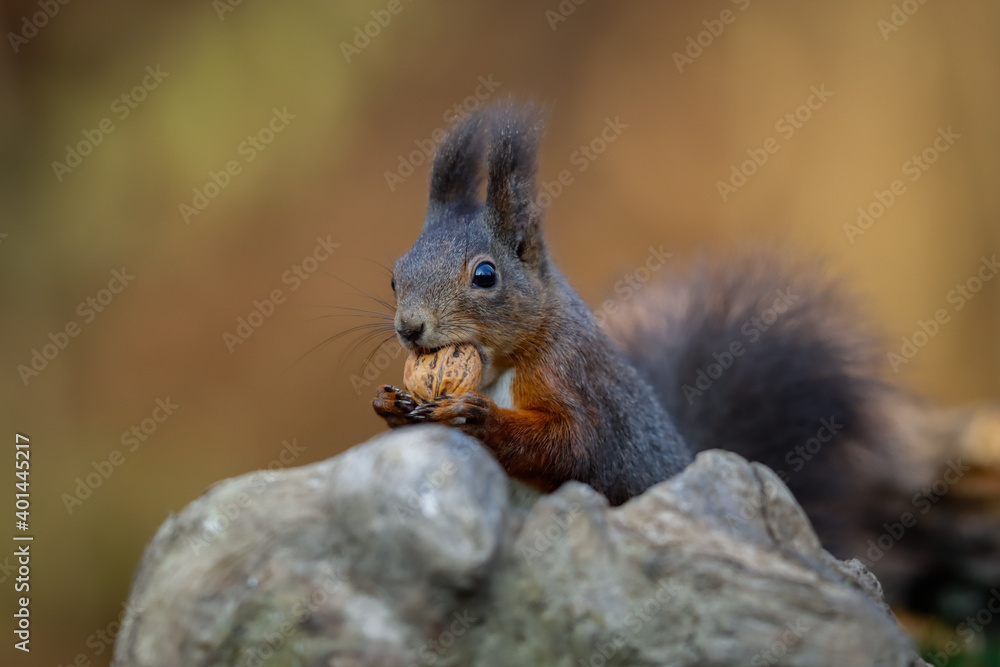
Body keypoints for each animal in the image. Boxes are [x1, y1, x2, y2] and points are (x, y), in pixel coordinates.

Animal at [373, 102, 883, 517]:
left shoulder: (575, 376)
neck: (502, 367)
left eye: (484, 275)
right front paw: (392, 405)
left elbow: (577, 445)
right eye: (396, 276)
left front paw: (477, 416)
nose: (410, 327)